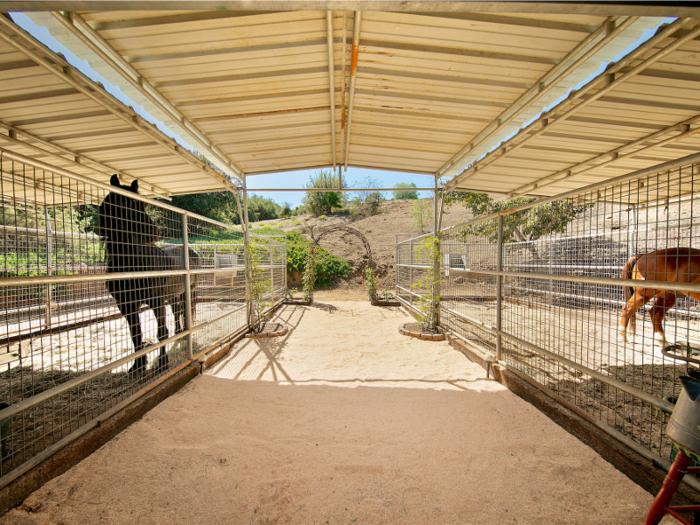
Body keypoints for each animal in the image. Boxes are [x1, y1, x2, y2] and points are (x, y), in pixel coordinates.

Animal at [98, 175, 200, 372]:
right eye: (125, 203)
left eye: (142, 204)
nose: (154, 233)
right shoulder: (126, 305)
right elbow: (136, 336)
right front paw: (138, 366)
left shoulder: (156, 300)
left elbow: (161, 333)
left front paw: (162, 364)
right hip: (173, 294)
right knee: (177, 311)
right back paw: (179, 332)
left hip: (189, 291)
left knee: (187, 310)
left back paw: (185, 334)